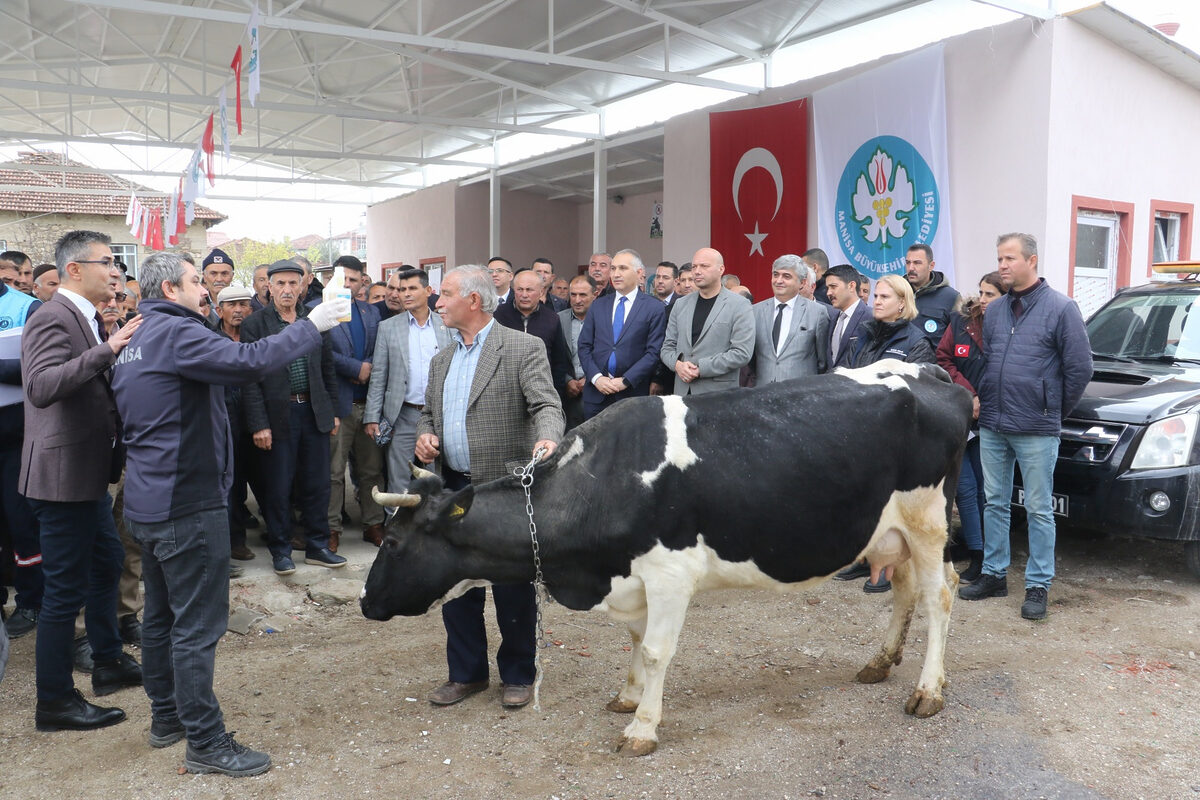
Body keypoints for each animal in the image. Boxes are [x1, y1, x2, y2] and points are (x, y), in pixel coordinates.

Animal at [357, 362, 974, 758]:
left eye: (394, 543)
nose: (365, 601)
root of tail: (929, 372)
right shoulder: (633, 580)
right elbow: (636, 642)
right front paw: (628, 697)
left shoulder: (671, 574)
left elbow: (656, 651)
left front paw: (642, 728)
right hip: (888, 531)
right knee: (906, 590)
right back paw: (880, 662)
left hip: (926, 518)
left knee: (940, 594)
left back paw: (927, 691)